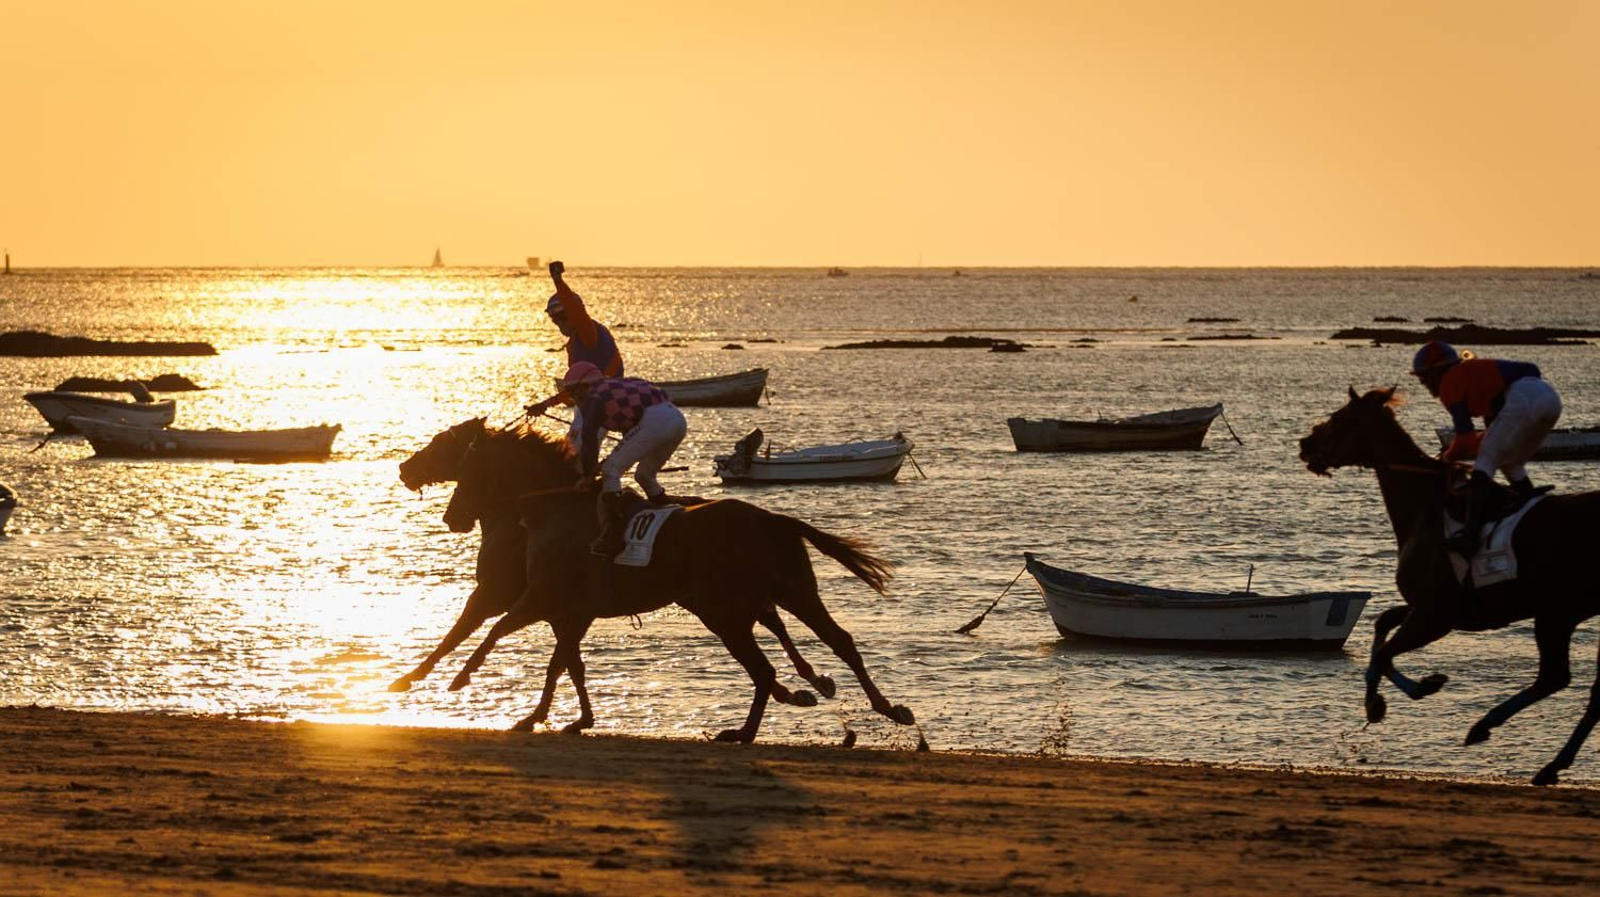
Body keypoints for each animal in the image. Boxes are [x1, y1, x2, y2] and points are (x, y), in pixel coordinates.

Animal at [390, 417, 839, 710]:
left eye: (442, 443)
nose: (404, 468)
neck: (535, 508)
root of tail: (767, 519)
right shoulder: (561, 607)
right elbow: (565, 658)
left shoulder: (503, 594)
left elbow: (462, 633)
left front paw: (417, 677)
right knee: (778, 623)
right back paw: (808, 683)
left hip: (721, 597)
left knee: (772, 630)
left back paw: (802, 684)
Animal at [442, 424, 917, 743]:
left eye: (468, 468)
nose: (452, 517)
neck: (557, 508)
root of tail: (771, 520)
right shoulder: (572, 611)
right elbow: (562, 662)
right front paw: (547, 716)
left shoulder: (543, 597)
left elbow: (501, 630)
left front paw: (462, 678)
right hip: (792, 592)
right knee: (839, 641)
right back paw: (887, 707)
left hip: (727, 613)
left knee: (765, 668)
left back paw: (746, 731)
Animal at [1299, 387, 1600, 785]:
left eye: (1340, 417)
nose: (1305, 444)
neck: (1424, 507)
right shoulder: (1429, 607)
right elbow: (1383, 625)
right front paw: (1386, 698)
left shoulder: (1436, 617)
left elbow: (1383, 653)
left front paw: (1401, 694)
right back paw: (1547, 762)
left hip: (1556, 612)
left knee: (1554, 676)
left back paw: (1490, 729)